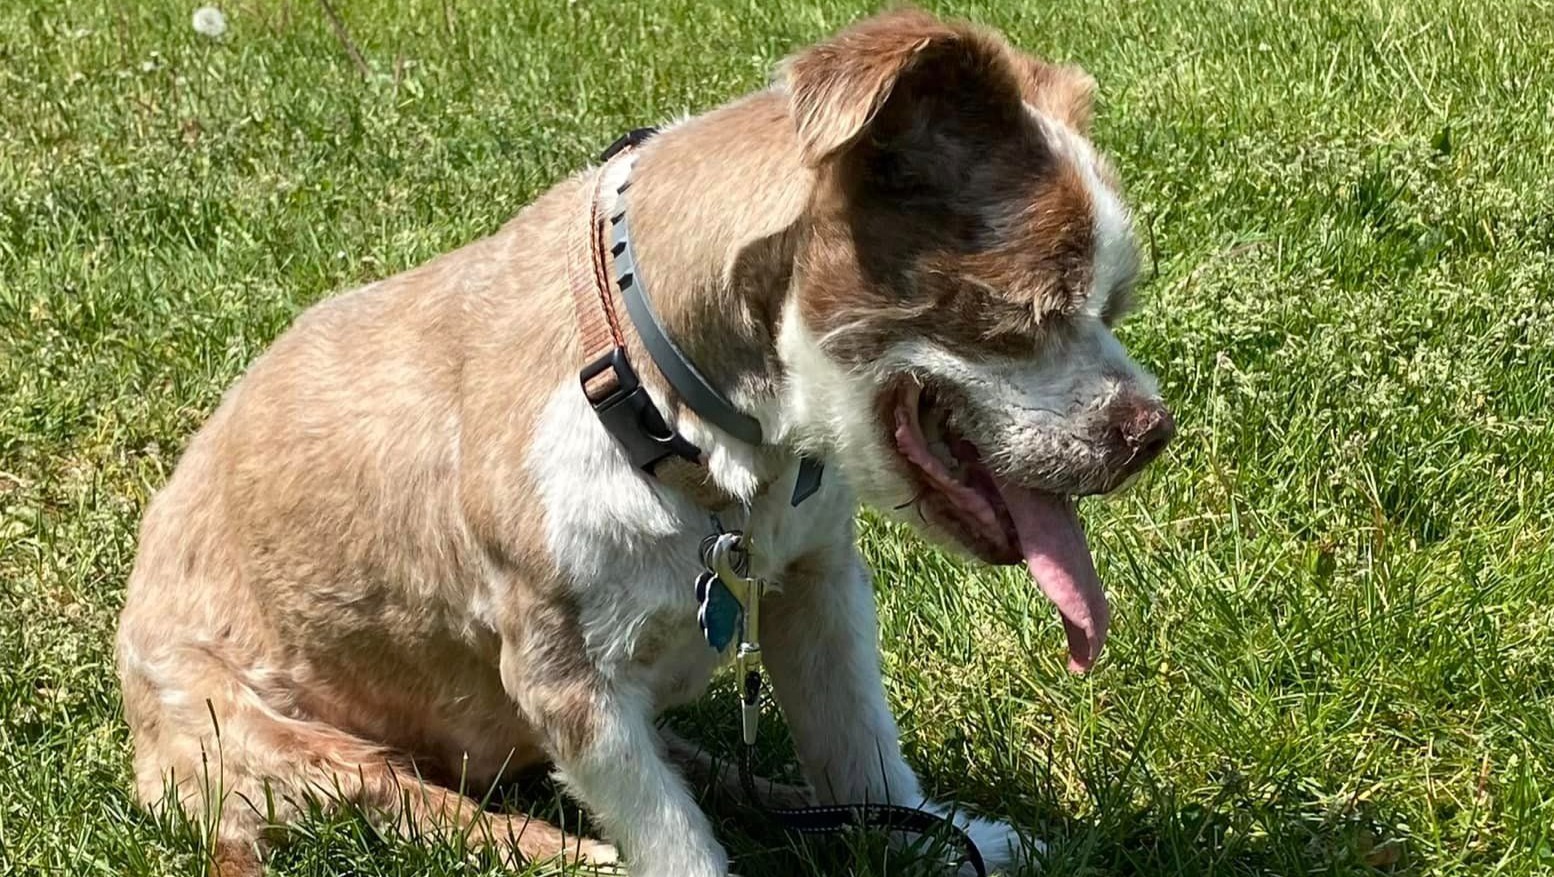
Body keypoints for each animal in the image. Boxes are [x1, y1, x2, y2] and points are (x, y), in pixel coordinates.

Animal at [116, 9, 1172, 876]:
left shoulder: (818, 589)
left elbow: (862, 754)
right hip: (263, 747)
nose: (1150, 430)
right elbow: (674, 841)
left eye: (1115, 303)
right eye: (1021, 315)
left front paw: (941, 836)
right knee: (433, 811)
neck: (689, 426)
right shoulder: (568, 681)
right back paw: (569, 851)